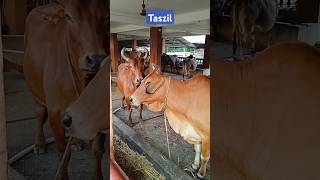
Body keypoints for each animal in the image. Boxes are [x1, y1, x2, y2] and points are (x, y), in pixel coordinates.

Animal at [23, 0, 109, 179]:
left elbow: (98, 150)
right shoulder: (55, 113)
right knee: (39, 113)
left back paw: (75, 142)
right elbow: (63, 154)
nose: (95, 59)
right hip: (36, 92)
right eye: (68, 16)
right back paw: (39, 143)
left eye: (106, 17)